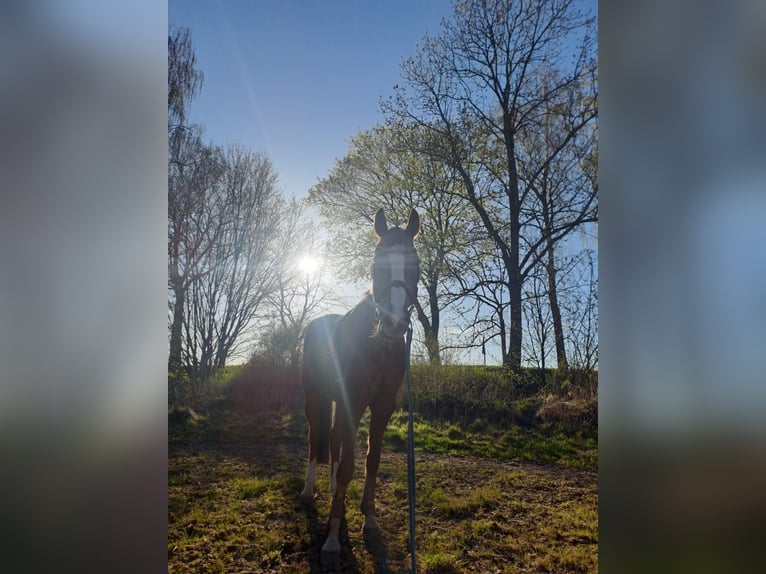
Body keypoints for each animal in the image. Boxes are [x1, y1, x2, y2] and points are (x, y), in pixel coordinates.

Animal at [299, 207, 420, 555]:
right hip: (314, 398)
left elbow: (371, 460)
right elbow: (350, 464)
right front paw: (332, 538)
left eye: (416, 265)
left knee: (333, 439)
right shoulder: (352, 401)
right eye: (375, 264)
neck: (375, 344)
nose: (395, 324)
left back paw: (332, 487)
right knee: (315, 438)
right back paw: (309, 491)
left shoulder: (382, 405)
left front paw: (369, 519)